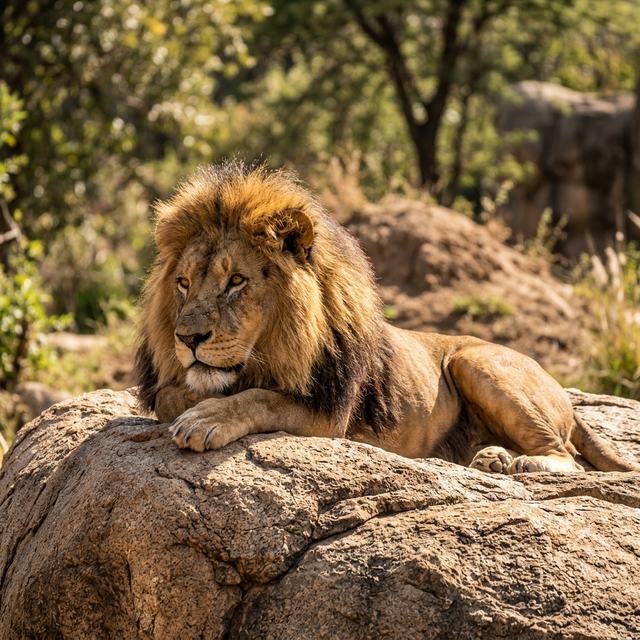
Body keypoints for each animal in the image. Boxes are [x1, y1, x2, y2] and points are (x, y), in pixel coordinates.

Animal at [134, 161, 639, 475]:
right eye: (183, 283)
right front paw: (192, 403)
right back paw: (492, 457)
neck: (274, 346)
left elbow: (259, 399)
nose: (188, 338)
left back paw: (525, 462)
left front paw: (205, 418)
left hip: (473, 361)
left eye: (236, 281)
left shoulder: (327, 417)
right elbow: (173, 397)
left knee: (567, 454)